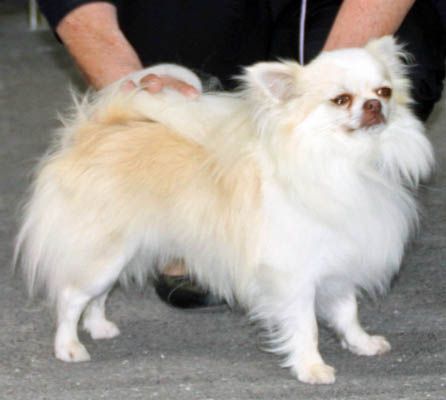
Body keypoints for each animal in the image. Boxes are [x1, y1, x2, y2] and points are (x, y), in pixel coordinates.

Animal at [15, 37, 434, 384]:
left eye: (384, 91)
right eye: (341, 100)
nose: (375, 105)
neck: (348, 164)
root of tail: (95, 131)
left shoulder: (339, 262)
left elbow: (348, 312)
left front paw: (361, 343)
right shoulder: (293, 276)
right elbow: (306, 326)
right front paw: (311, 368)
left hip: (121, 252)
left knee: (96, 297)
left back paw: (100, 327)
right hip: (103, 252)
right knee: (71, 297)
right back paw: (68, 347)